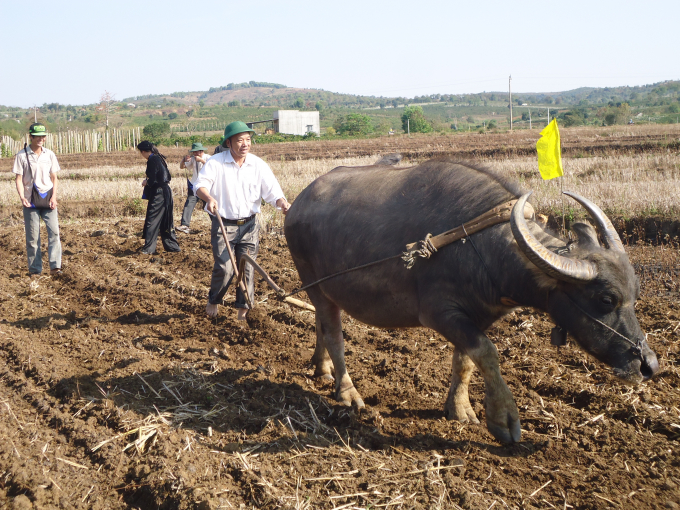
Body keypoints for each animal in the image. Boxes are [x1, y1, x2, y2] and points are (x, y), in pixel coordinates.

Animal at [282, 158, 660, 442]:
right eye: (607, 298)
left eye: (635, 294)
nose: (649, 365)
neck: (486, 249)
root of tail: (297, 205)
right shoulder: (440, 313)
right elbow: (488, 353)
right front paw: (503, 419)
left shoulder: (476, 317)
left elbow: (465, 360)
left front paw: (460, 409)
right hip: (312, 281)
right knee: (334, 333)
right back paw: (347, 392)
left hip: (323, 289)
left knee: (319, 323)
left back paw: (321, 369)